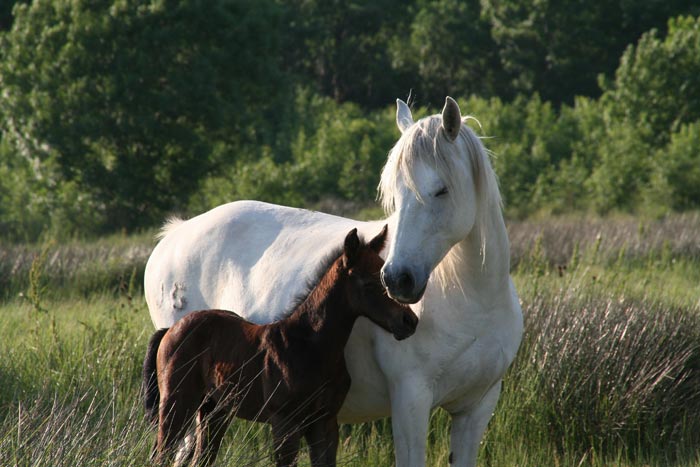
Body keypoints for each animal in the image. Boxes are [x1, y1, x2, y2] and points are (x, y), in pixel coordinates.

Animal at [145, 97, 524, 466]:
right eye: (395, 196)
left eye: (441, 191)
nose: (397, 279)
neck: (473, 304)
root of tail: (176, 234)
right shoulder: (410, 402)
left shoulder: (476, 409)